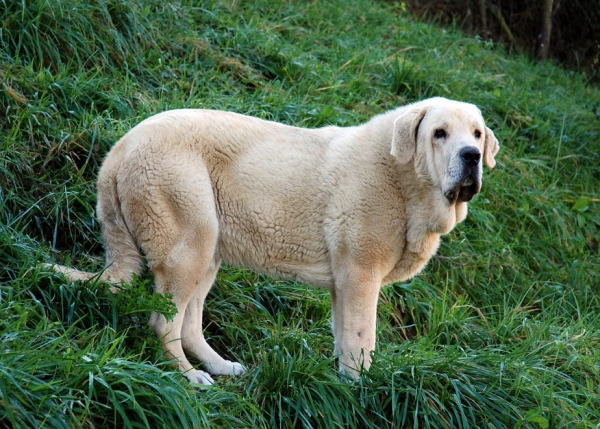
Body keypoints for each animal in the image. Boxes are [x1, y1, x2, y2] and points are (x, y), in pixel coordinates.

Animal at [51, 97, 500, 384]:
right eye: (439, 133)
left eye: (477, 135)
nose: (471, 156)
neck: (404, 178)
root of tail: (119, 149)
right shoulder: (360, 274)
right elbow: (362, 340)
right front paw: (361, 391)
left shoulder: (344, 283)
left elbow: (343, 337)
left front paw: (343, 383)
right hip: (188, 244)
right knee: (164, 322)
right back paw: (189, 377)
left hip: (207, 248)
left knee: (190, 323)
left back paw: (219, 367)